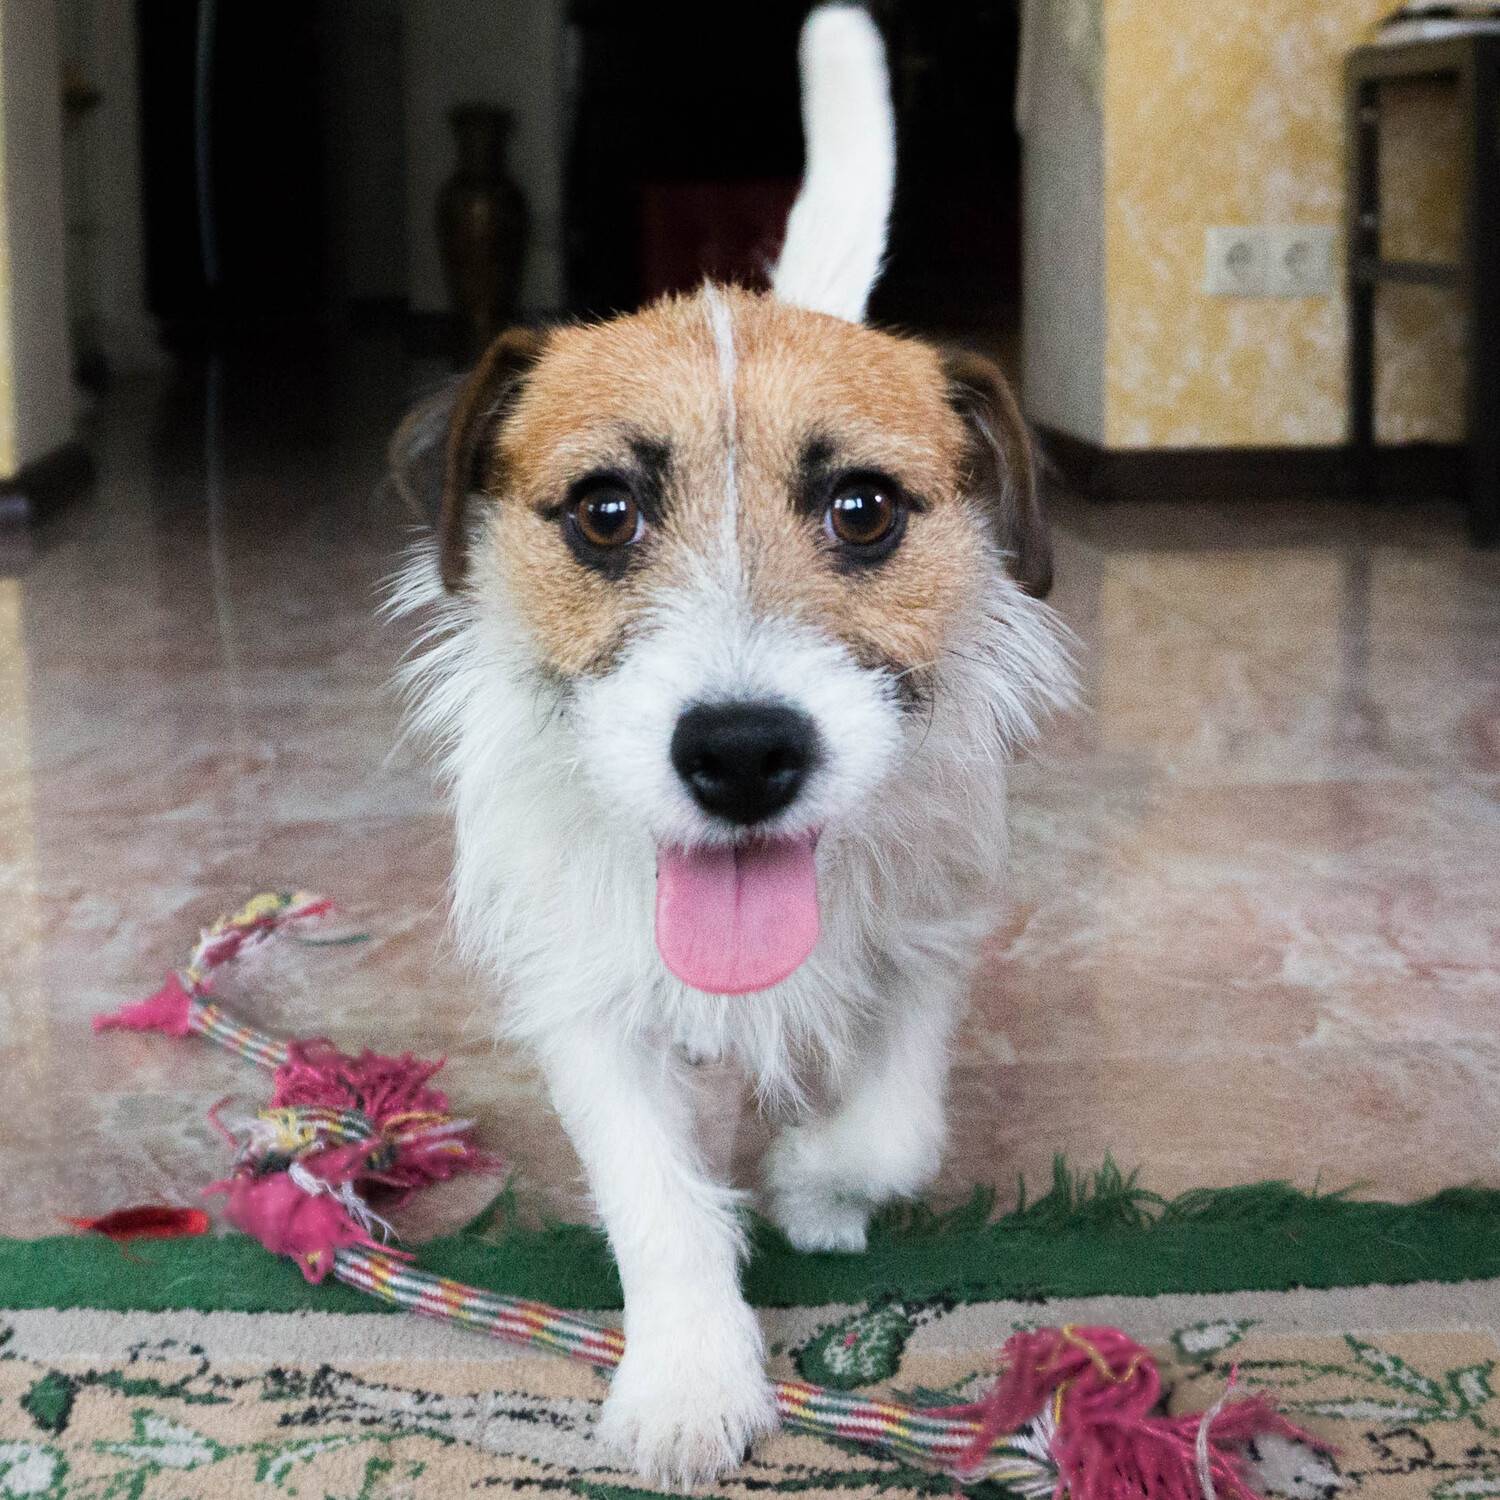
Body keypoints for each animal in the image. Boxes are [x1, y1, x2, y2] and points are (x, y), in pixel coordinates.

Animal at [388, 4, 1074, 1485]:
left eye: (865, 508)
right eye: (604, 511)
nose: (744, 752)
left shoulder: (931, 937)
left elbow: (893, 1126)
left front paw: (817, 1186)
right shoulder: (585, 992)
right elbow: (655, 1191)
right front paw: (693, 1375)